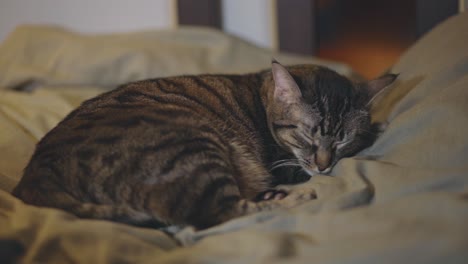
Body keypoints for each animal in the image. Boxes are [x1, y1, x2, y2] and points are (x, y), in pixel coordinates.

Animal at [12, 61, 396, 229]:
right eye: (306, 134)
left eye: (343, 139)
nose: (324, 164)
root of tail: (34, 177)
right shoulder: (283, 164)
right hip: (193, 146)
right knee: (216, 214)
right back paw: (294, 199)